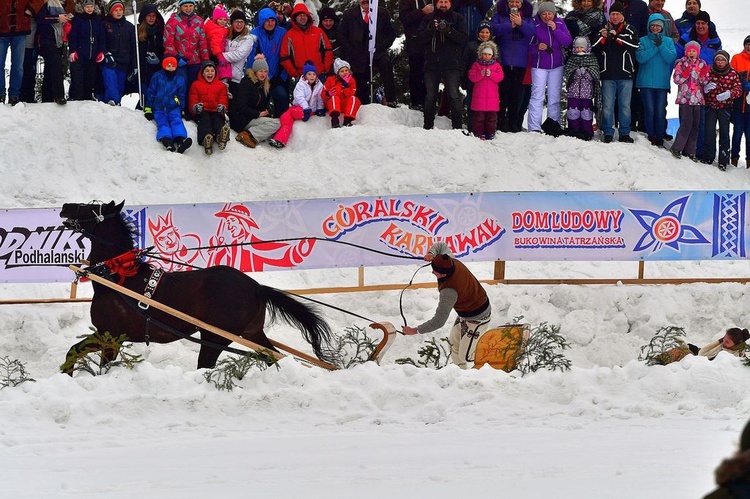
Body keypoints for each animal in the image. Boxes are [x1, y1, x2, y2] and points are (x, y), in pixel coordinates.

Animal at [60, 201, 336, 374]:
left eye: (91, 207)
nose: (64, 208)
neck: (119, 276)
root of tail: (257, 287)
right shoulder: (108, 337)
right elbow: (73, 352)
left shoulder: (111, 337)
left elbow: (85, 358)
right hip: (251, 333)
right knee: (271, 357)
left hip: (215, 337)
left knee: (207, 367)